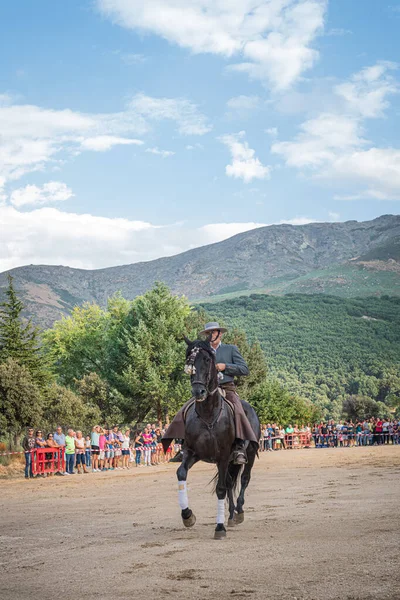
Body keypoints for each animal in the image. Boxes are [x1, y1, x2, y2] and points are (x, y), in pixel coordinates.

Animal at [177, 340, 260, 540]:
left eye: (207, 360)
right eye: (189, 360)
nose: (198, 391)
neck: (208, 413)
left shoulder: (223, 456)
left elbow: (221, 489)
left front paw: (219, 527)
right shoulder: (192, 453)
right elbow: (181, 473)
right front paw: (187, 515)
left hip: (249, 453)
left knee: (244, 479)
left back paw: (239, 512)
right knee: (231, 482)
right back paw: (230, 515)